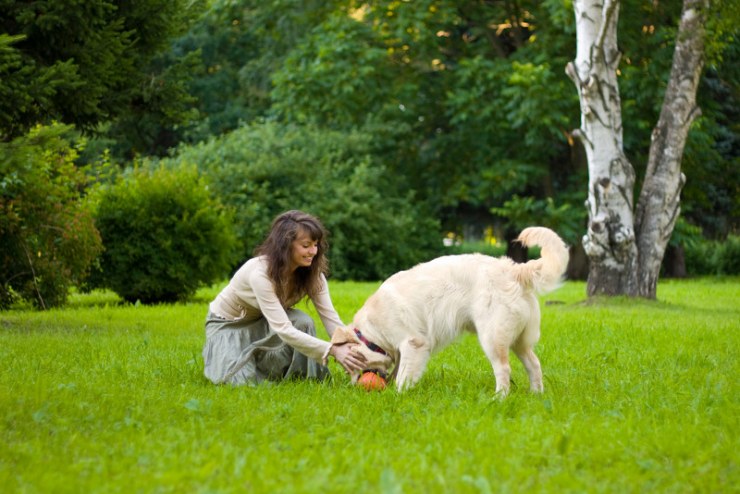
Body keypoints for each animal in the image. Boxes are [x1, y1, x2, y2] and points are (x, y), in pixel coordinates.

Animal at [332, 226, 568, 396]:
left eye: (349, 366)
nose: (354, 386)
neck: (373, 329)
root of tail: (514, 269)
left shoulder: (413, 343)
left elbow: (403, 376)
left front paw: (397, 395)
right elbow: (399, 370)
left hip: (492, 337)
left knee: (503, 368)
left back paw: (499, 398)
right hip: (519, 340)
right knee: (534, 364)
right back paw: (536, 394)